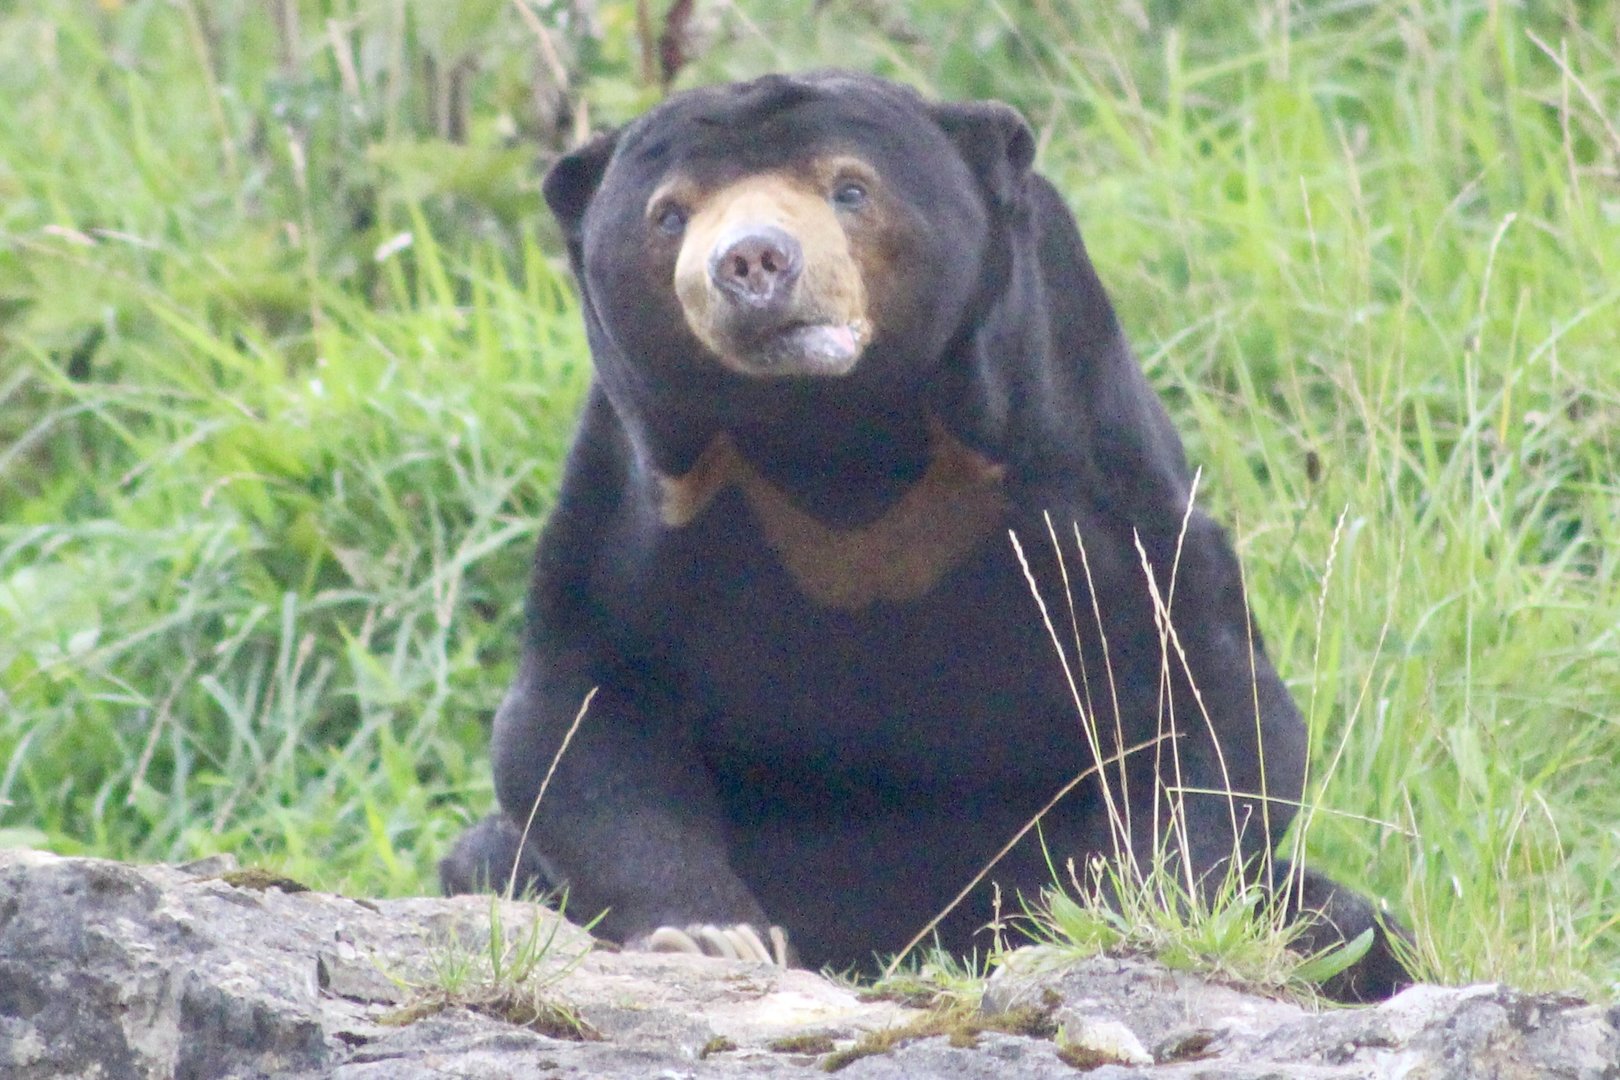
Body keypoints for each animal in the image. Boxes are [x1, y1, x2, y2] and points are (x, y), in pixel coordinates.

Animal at [441, 70, 1409, 1001]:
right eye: (669, 212)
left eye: (850, 189)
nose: (752, 261)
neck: (834, 438)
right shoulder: (636, 493)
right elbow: (584, 707)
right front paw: (713, 935)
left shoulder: (1078, 455)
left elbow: (1202, 689)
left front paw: (1116, 918)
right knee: (484, 861)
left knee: (1340, 919)